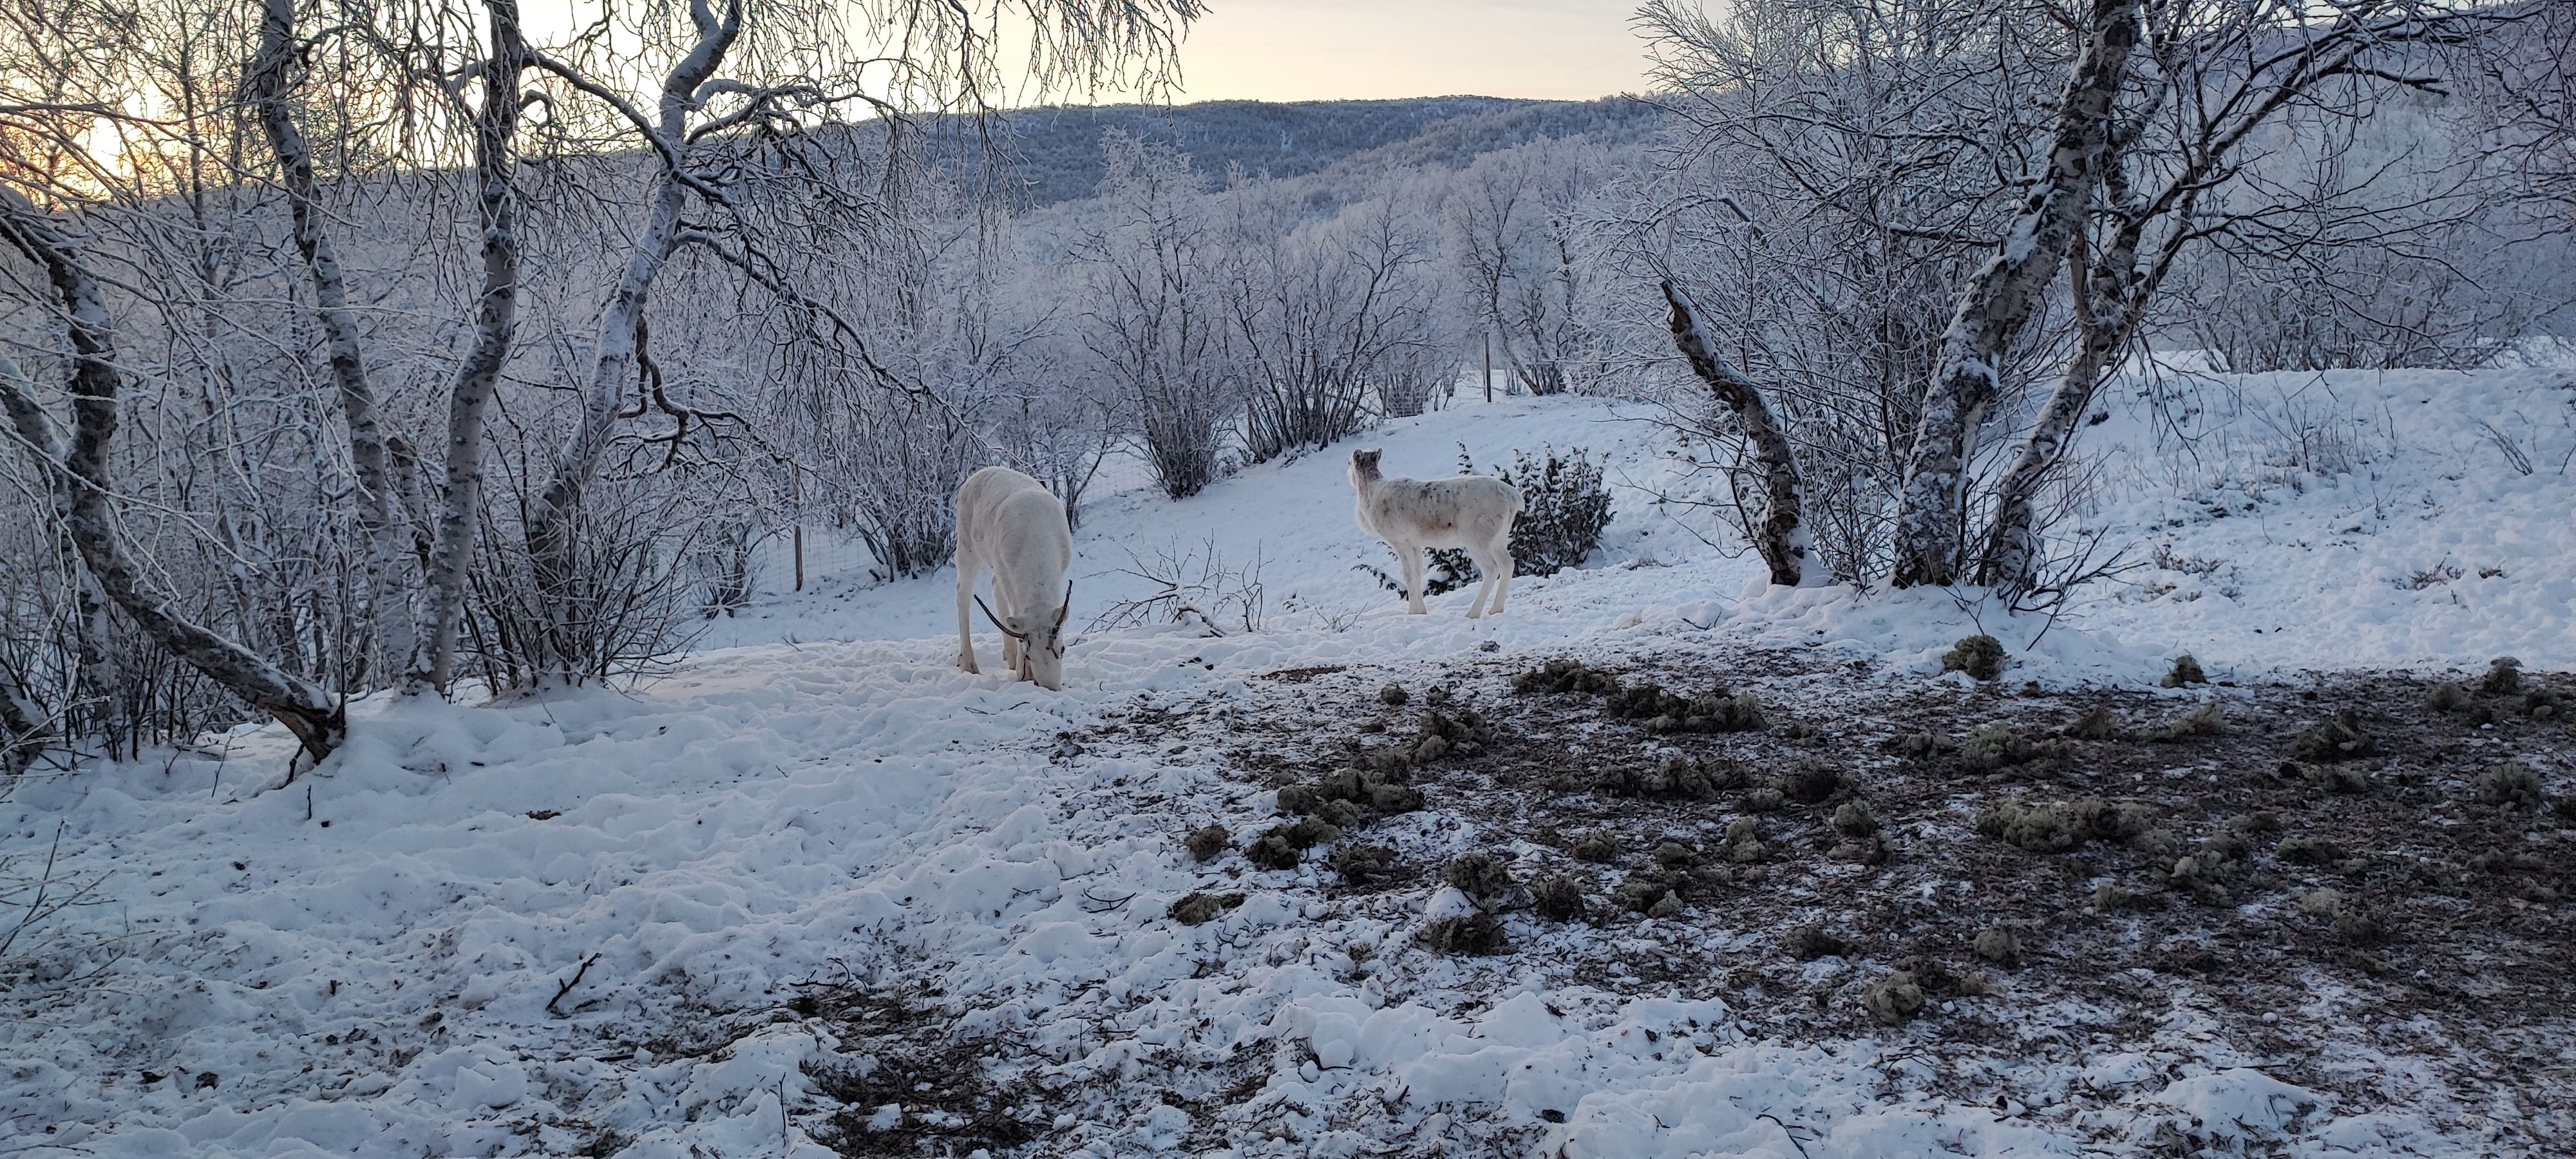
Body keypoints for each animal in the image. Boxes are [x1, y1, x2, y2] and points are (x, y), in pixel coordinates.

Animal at [954, 466, 1075, 690]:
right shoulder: (1006, 571)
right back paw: (969, 664)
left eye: (1062, 649)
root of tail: (973, 478)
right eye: (1028, 655)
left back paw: (1009, 657)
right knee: (963, 594)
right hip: (967, 547)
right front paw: (1023, 674)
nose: (1050, 687)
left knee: (993, 585)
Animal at [1347, 448, 1521, 619]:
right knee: (1507, 564)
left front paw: (1412, 612)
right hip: (1498, 540)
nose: (1347, 474)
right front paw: (1421, 612)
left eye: (1349, 462)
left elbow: (1408, 576)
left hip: (1476, 540)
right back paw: (1495, 610)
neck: (1370, 497)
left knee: (1491, 569)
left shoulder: (1400, 543)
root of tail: (1514, 498)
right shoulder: (1416, 545)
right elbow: (1417, 576)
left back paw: (1472, 613)